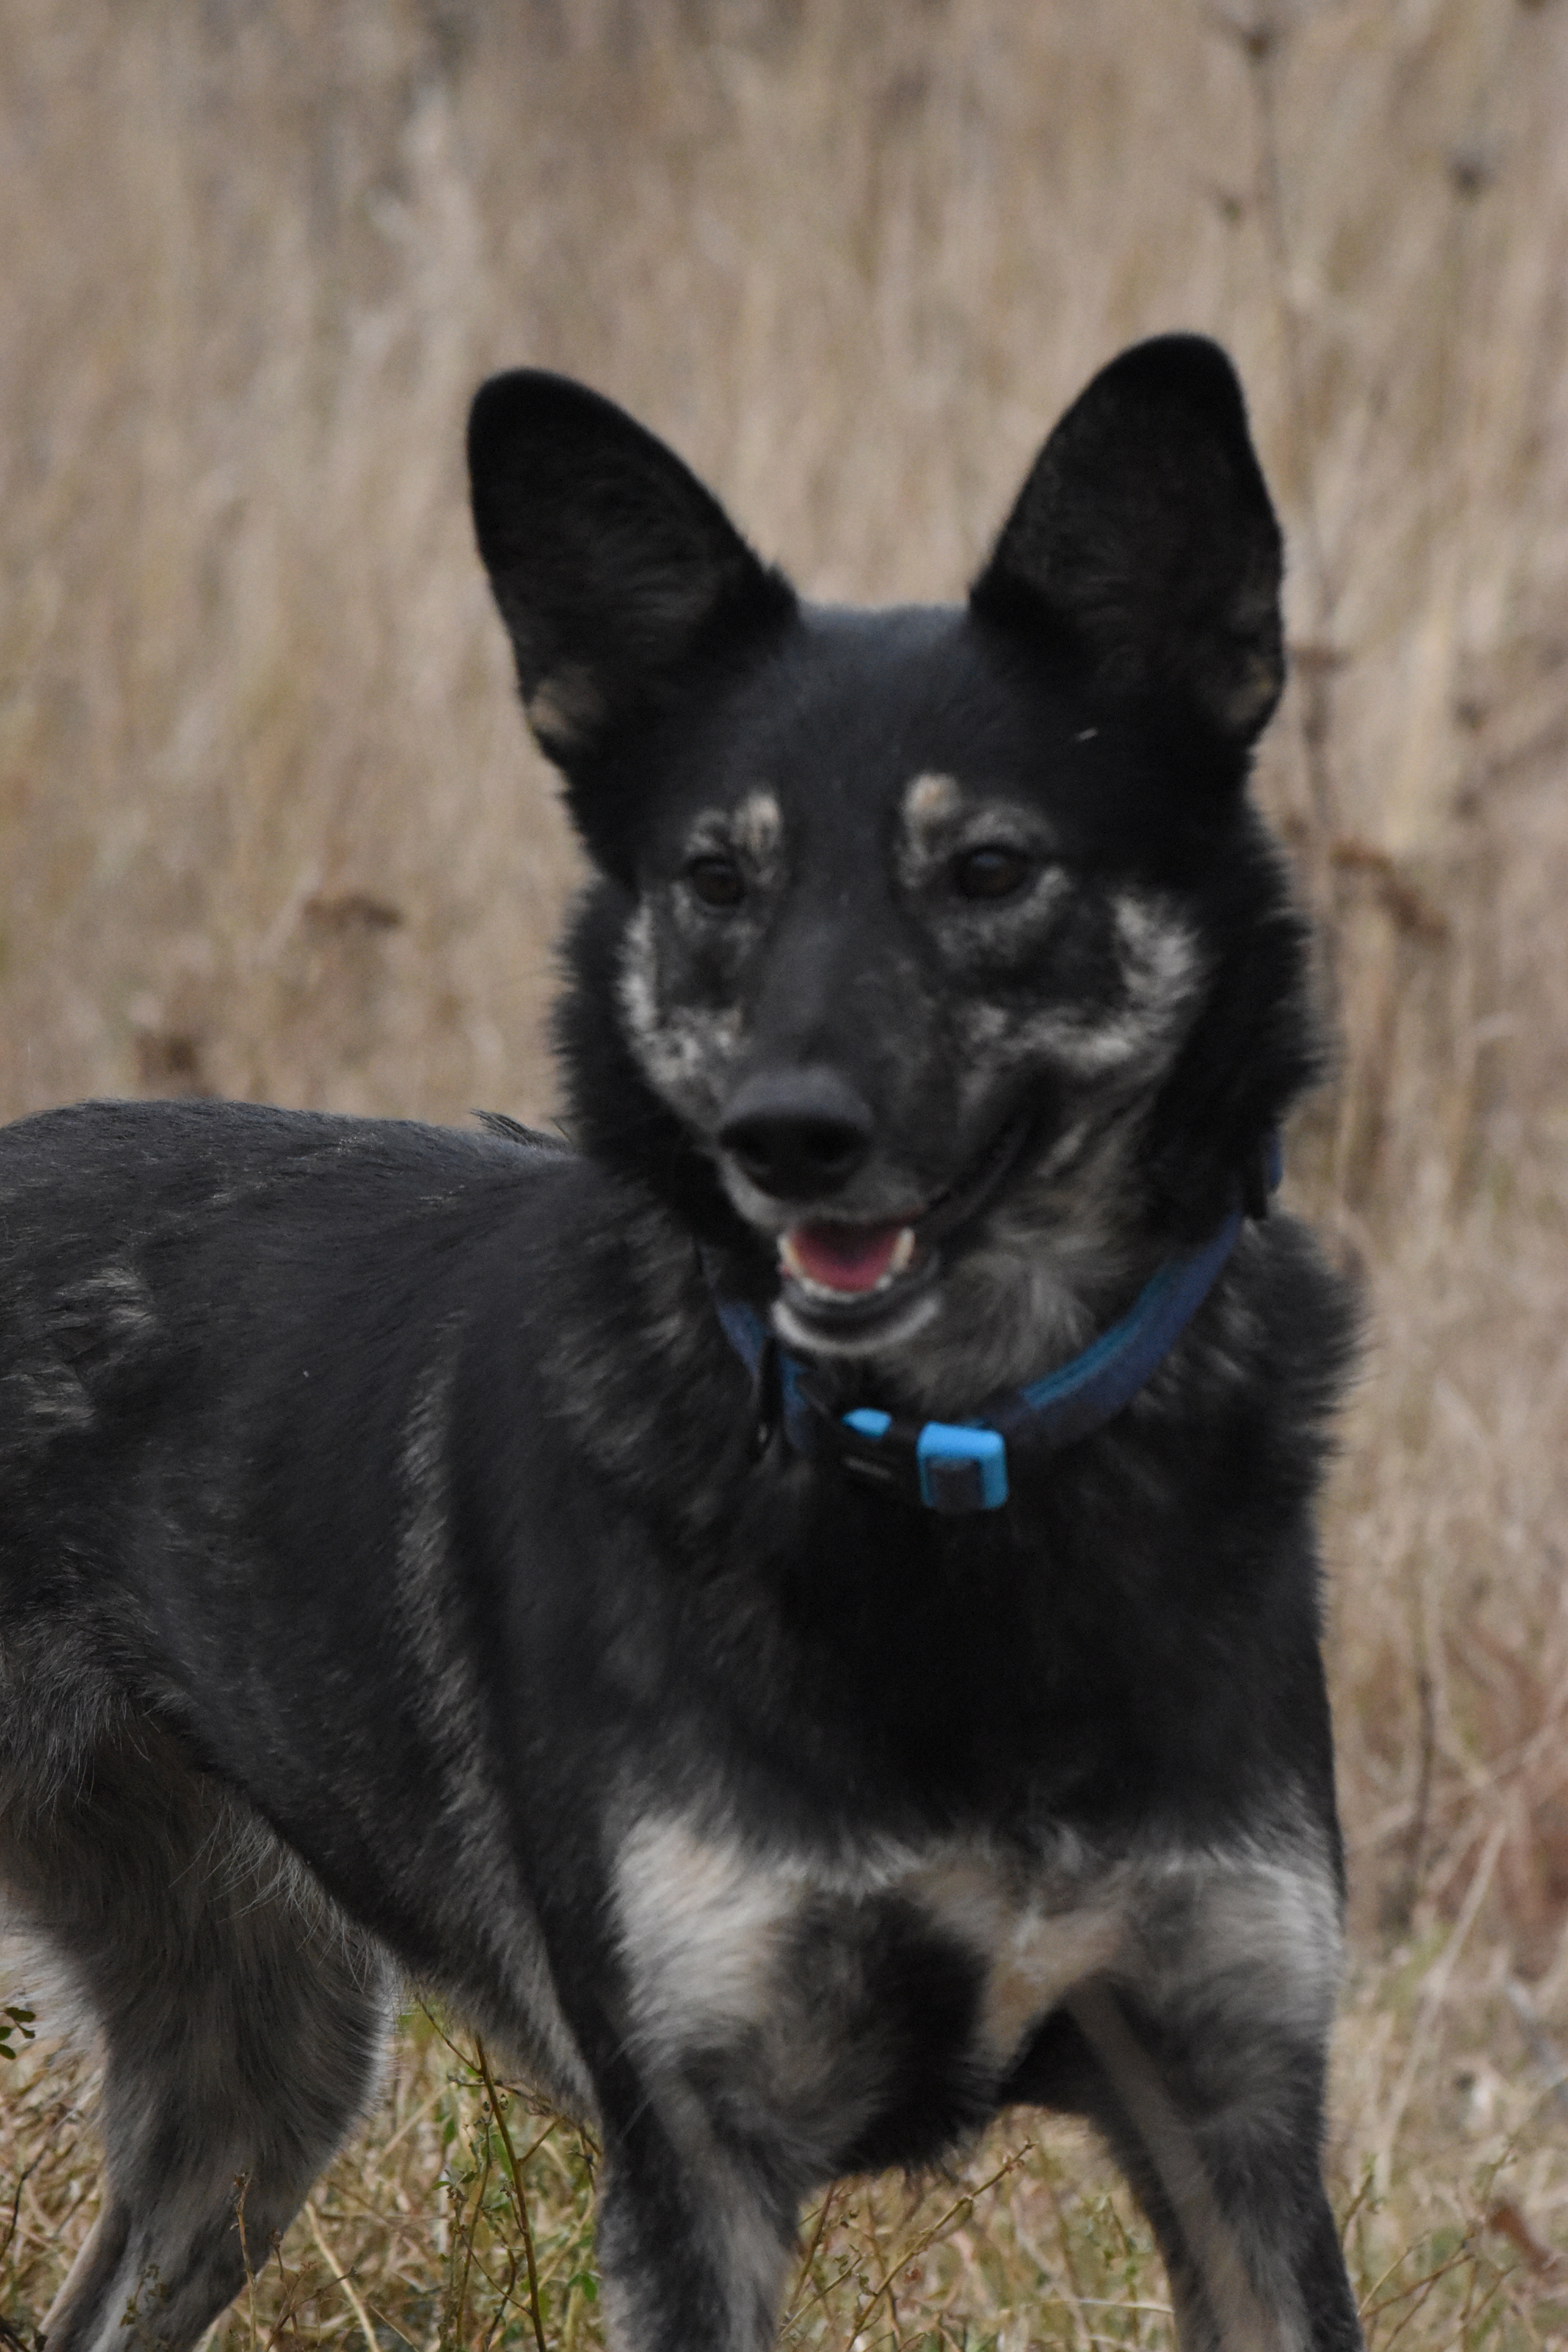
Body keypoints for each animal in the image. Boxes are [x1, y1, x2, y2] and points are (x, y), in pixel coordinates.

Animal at [0, 336, 1363, 2352]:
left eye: (989, 868)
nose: (784, 1137)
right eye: (719, 879)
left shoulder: (1236, 2110)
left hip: (260, 2078)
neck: (948, 1475)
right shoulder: (696, 2163)